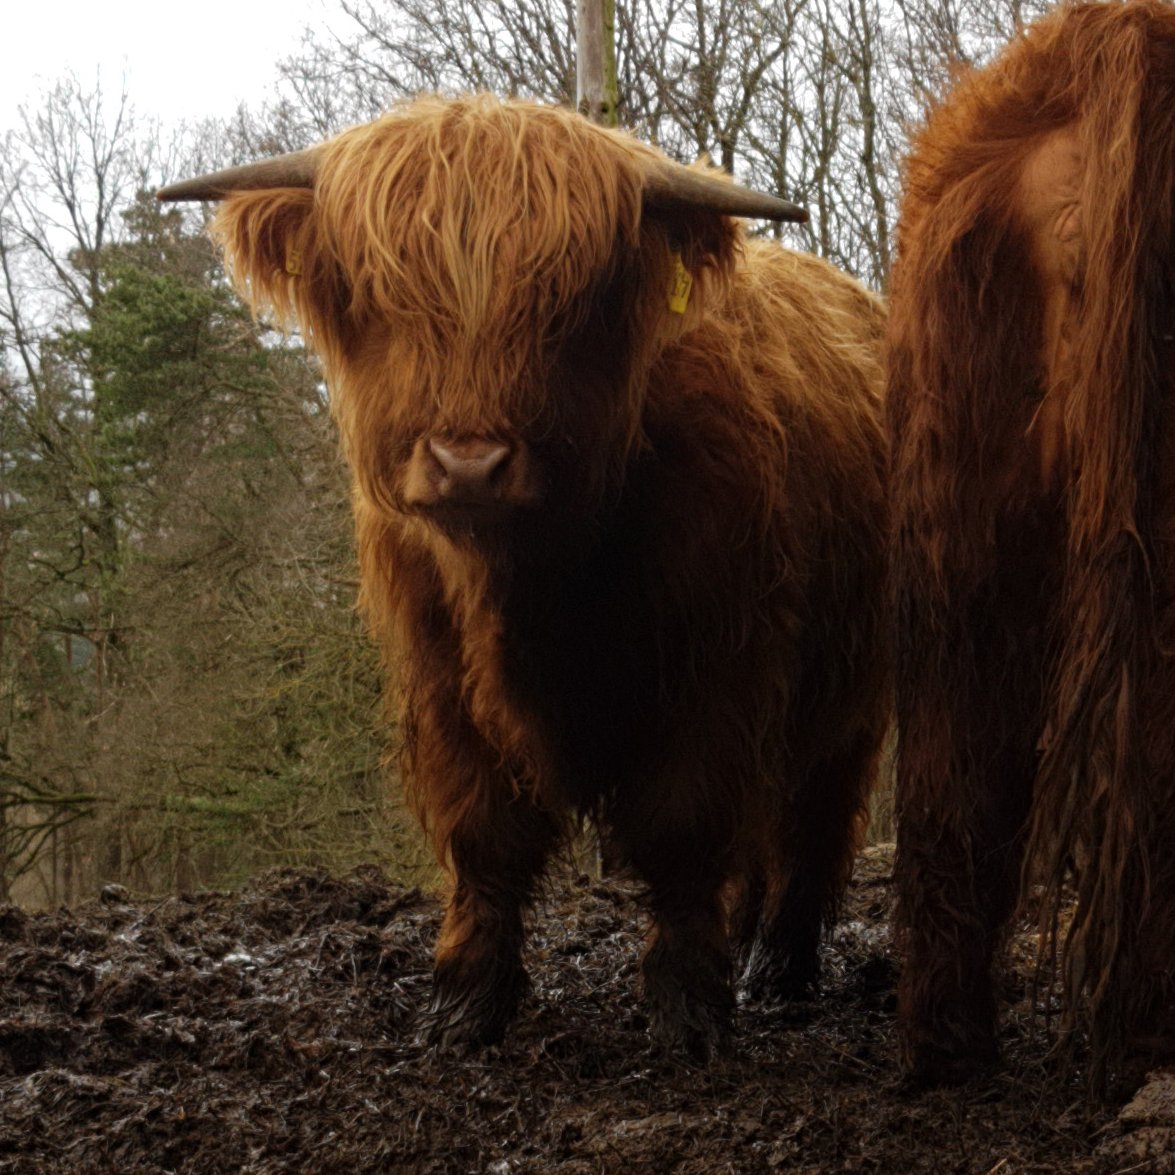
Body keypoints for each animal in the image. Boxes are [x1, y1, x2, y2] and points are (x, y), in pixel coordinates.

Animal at [159, 95, 889, 1053]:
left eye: (570, 304)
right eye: (380, 294)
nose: (468, 464)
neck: (532, 579)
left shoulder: (719, 671)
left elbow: (685, 829)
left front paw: (686, 1008)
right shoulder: (439, 678)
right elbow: (483, 834)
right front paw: (464, 1004)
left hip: (853, 696)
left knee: (810, 821)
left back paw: (780, 968)